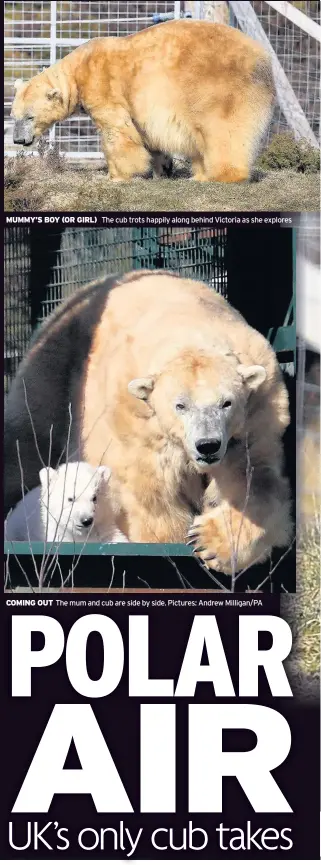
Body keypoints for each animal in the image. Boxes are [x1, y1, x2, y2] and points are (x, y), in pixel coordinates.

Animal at [3, 270, 292, 572]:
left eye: (227, 402)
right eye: (180, 405)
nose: (207, 445)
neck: (190, 329)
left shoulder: (254, 419)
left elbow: (254, 480)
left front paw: (209, 542)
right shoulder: (137, 422)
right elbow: (149, 494)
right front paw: (168, 542)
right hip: (58, 369)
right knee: (29, 437)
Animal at [11, 18, 274, 182]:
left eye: (30, 117)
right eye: (14, 116)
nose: (17, 140)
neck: (77, 70)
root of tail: (262, 58)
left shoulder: (103, 87)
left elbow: (116, 131)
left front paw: (115, 176)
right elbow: (146, 134)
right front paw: (163, 169)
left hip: (217, 86)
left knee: (221, 129)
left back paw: (219, 175)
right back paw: (198, 174)